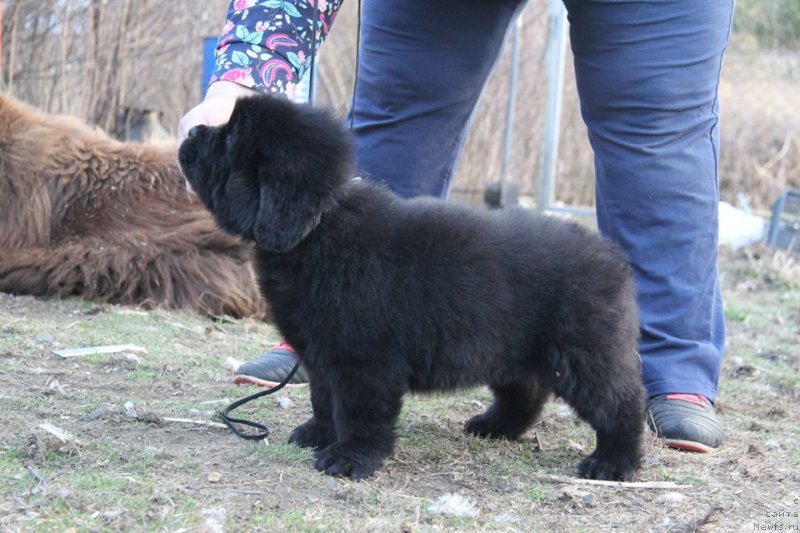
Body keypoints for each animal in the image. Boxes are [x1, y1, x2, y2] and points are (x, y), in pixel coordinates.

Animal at [178, 93, 648, 480]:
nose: (193, 131)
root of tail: (611, 256)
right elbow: (322, 398)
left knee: (621, 402)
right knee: (526, 393)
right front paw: (317, 433)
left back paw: (613, 462)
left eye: (230, 139)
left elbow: (360, 411)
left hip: (585, 354)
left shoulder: (365, 360)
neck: (319, 226)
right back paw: (494, 426)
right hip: (515, 348)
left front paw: (349, 458)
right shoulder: (323, 353)